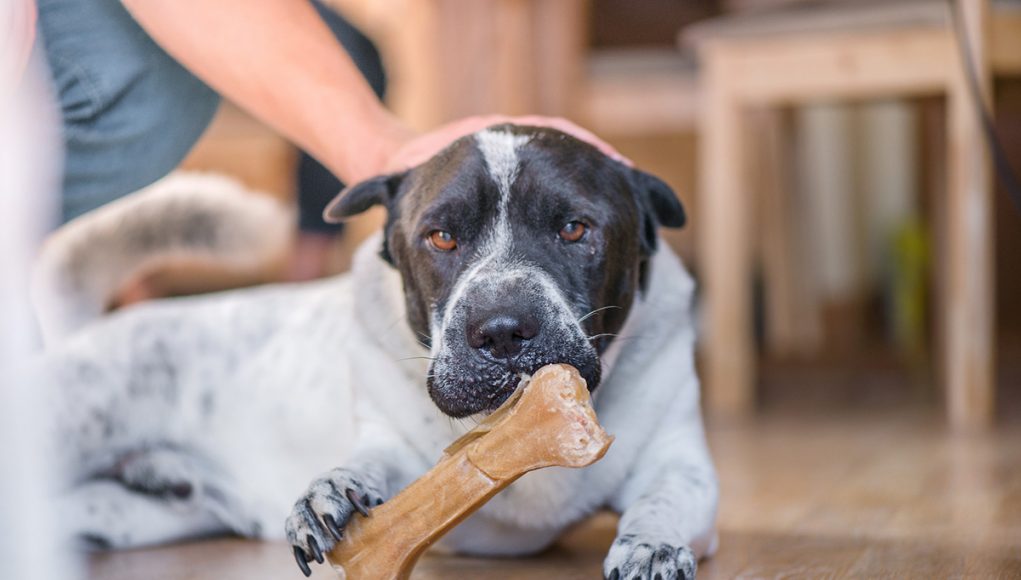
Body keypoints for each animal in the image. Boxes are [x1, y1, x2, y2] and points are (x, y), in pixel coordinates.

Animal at [31, 124, 718, 575]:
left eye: (574, 229)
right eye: (440, 237)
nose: (500, 329)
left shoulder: (682, 466)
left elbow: (664, 497)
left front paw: (651, 544)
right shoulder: (392, 443)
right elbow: (371, 466)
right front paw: (331, 490)